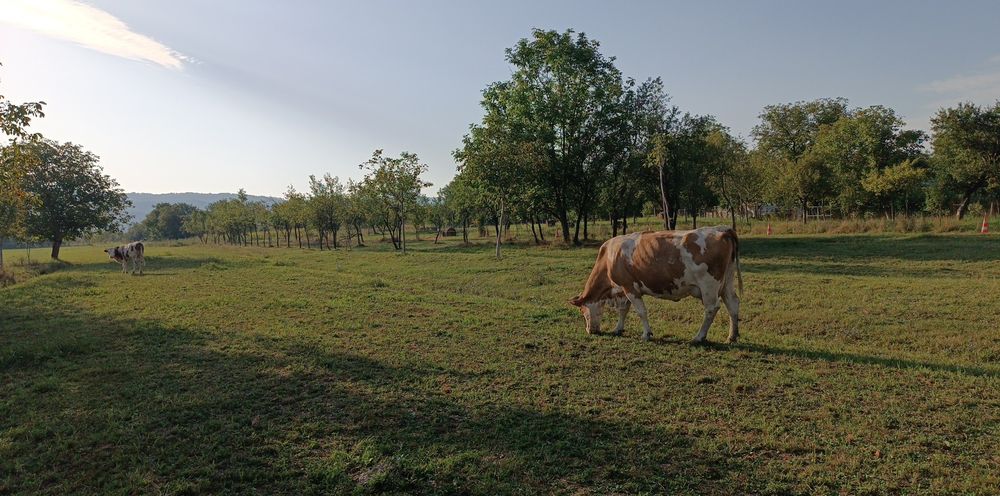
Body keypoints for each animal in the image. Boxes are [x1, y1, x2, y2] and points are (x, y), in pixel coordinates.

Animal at [569, 226, 743, 344]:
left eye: (582, 311)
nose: (589, 331)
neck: (609, 257)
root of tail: (722, 229)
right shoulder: (624, 289)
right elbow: (623, 310)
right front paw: (618, 328)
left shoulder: (629, 287)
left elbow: (641, 312)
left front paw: (646, 334)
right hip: (727, 281)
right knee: (733, 303)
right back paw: (732, 336)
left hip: (709, 285)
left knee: (711, 308)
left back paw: (699, 337)